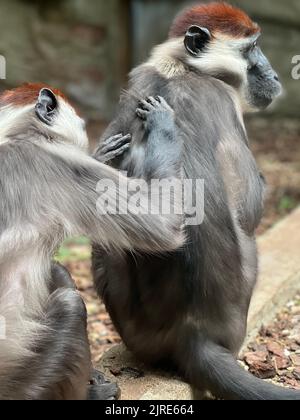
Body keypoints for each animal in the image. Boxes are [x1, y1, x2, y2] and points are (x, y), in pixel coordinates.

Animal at [0, 83, 183, 400]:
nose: (84, 126)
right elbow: (164, 224)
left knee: (57, 272)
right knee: (70, 305)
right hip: (22, 382)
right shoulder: (51, 163)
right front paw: (163, 127)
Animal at [92, 1, 298, 398]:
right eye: (251, 49)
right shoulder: (224, 99)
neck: (182, 69)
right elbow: (250, 207)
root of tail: (193, 333)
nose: (274, 73)